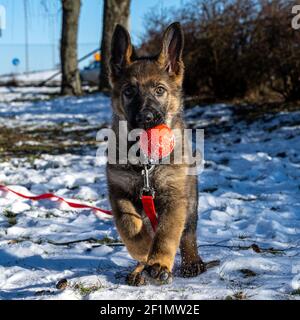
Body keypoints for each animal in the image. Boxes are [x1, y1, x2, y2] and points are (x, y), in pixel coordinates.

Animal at [106, 23, 205, 288]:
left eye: (160, 90)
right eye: (129, 91)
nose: (146, 118)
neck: (145, 163)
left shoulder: (175, 197)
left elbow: (168, 233)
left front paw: (159, 263)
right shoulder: (118, 192)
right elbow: (129, 226)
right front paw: (144, 251)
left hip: (191, 198)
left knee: (189, 233)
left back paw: (192, 262)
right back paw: (139, 269)